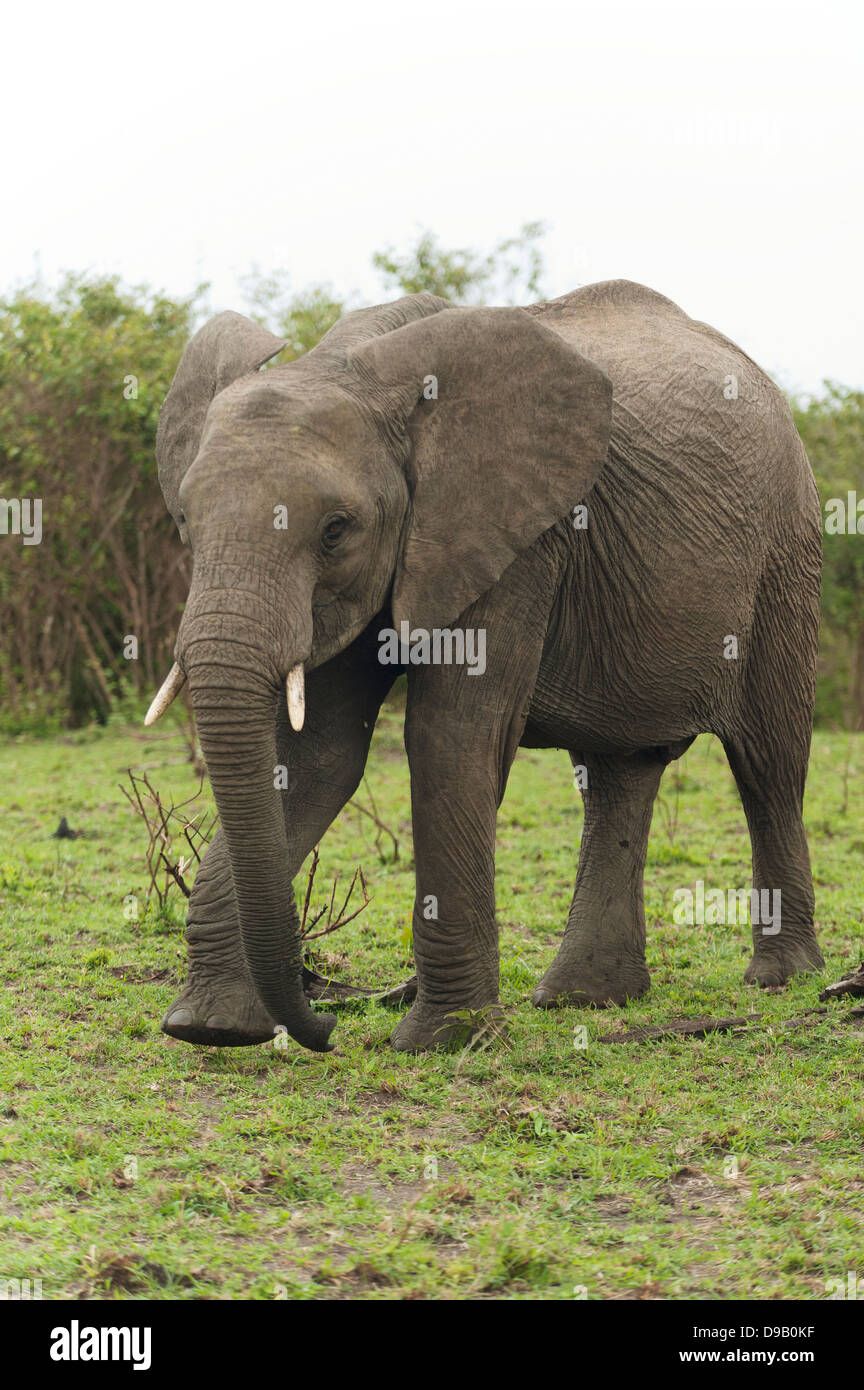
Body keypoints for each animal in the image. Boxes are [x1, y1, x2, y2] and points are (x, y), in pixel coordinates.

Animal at [148, 282, 827, 1050]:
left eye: (335, 530)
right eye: (186, 523)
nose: (326, 1021)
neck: (351, 365)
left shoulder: (519, 538)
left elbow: (450, 737)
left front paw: (444, 1041)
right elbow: (318, 755)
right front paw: (211, 1028)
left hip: (786, 548)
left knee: (769, 763)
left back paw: (779, 979)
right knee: (619, 773)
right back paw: (584, 998)